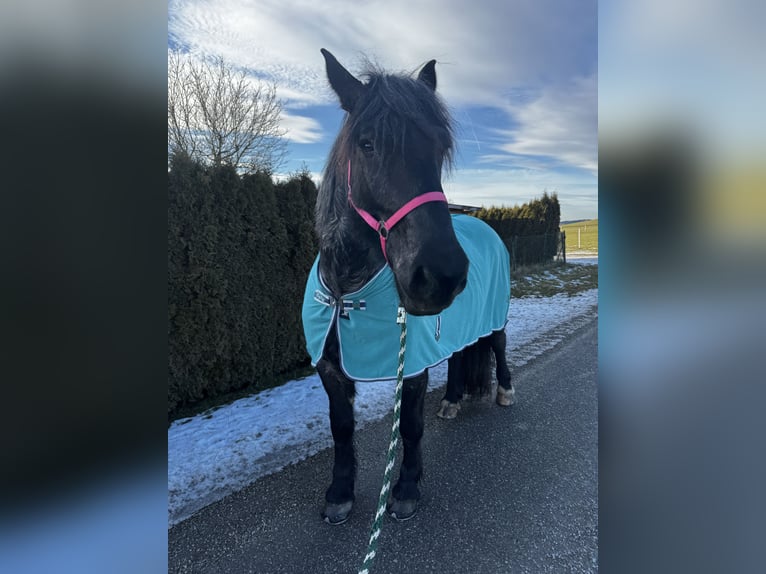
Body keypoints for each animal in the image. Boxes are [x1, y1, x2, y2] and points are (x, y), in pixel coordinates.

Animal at [302, 49, 516, 528]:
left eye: (440, 147)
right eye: (366, 143)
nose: (441, 275)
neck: (347, 292)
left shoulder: (412, 364)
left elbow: (410, 427)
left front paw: (405, 488)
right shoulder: (329, 370)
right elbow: (341, 428)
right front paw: (339, 493)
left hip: (494, 318)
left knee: (497, 346)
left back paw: (505, 392)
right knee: (457, 358)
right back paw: (452, 400)